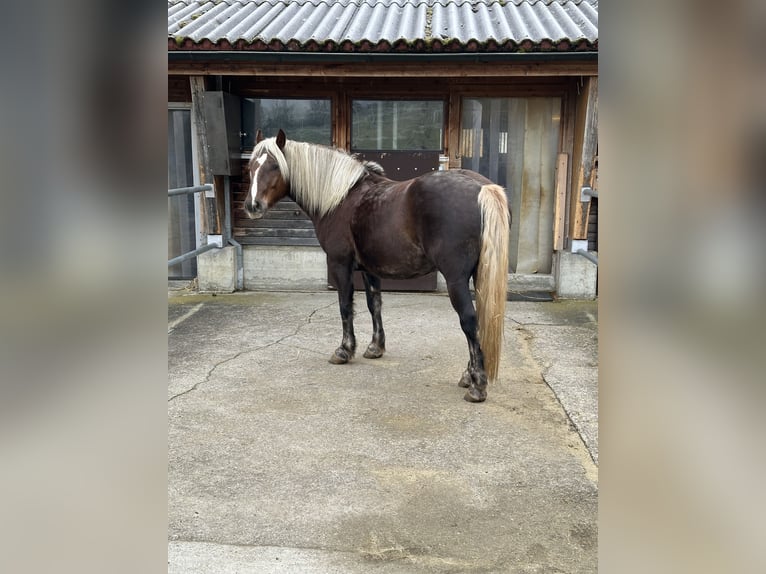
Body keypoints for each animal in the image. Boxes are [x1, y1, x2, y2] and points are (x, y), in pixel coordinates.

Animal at [245, 129, 510, 402]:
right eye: (250, 167)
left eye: (275, 166)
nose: (252, 206)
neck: (341, 198)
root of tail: (482, 188)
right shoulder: (370, 271)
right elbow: (375, 305)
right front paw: (375, 347)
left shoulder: (340, 264)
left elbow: (345, 306)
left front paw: (344, 350)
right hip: (477, 276)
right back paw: (468, 375)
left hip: (456, 280)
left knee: (469, 320)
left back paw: (477, 385)